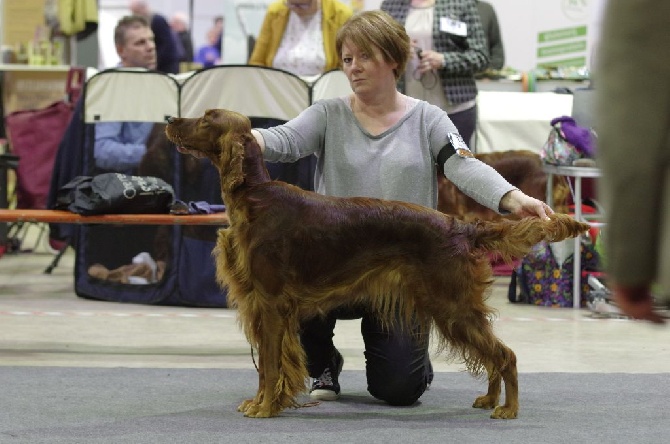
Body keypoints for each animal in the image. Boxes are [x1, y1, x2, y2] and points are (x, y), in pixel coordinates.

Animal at [165, 108, 592, 420]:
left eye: (207, 118)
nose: (169, 118)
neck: (254, 198)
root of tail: (460, 226)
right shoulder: (262, 305)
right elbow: (269, 366)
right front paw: (261, 402)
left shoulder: (270, 304)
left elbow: (270, 366)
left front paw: (266, 408)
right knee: (494, 355)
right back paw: (490, 400)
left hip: (452, 305)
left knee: (506, 355)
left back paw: (508, 409)